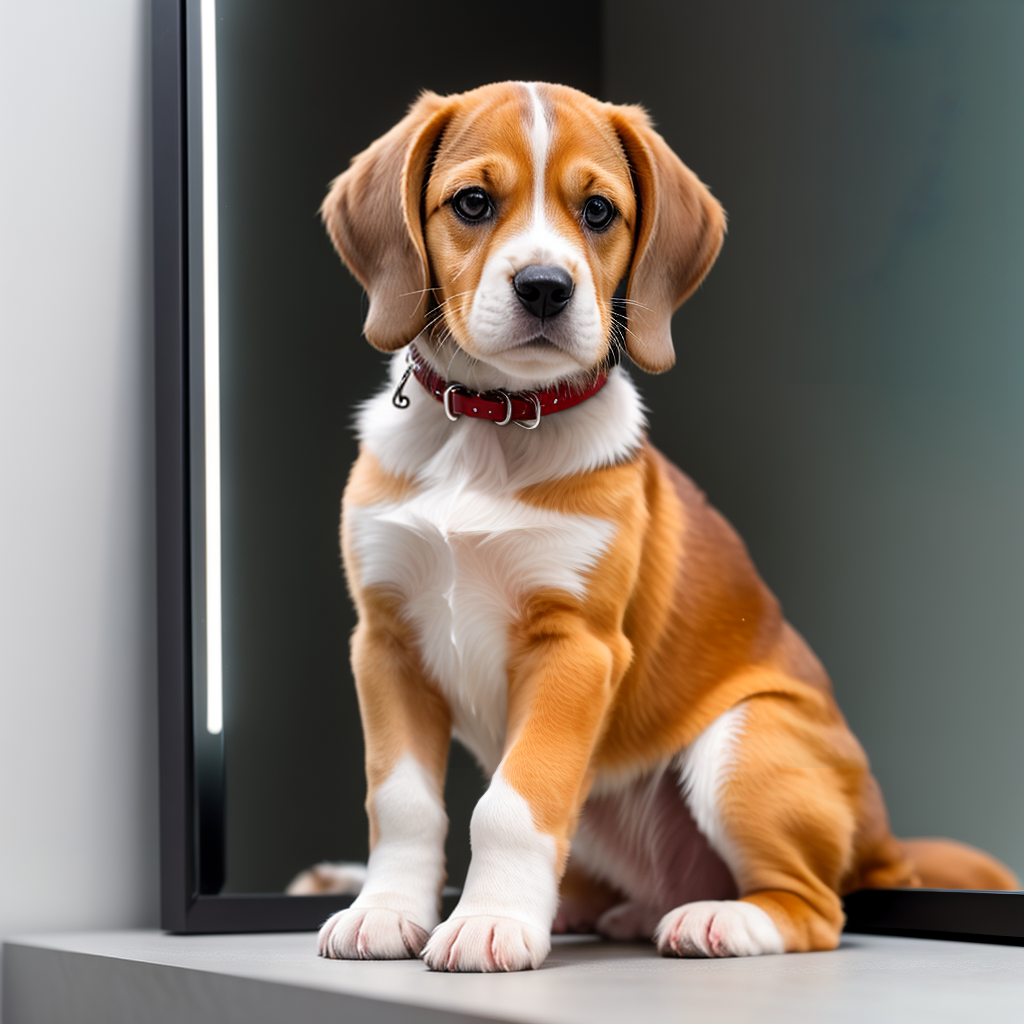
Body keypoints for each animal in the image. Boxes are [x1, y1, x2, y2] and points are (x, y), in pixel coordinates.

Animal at [313, 83, 1015, 970]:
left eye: (599, 211)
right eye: (472, 202)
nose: (545, 286)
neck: (492, 428)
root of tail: (883, 845)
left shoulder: (575, 646)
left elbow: (514, 801)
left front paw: (491, 921)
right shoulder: (386, 641)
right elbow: (403, 803)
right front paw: (385, 910)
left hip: (745, 737)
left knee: (818, 908)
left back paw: (722, 920)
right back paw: (594, 912)